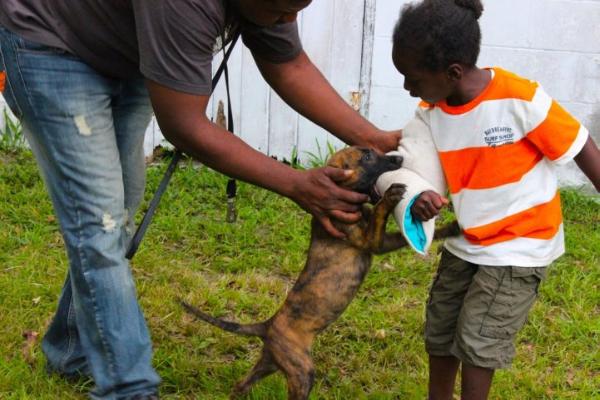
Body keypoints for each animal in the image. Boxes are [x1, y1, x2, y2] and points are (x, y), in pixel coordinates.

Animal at [182, 147, 460, 400]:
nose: (399, 158)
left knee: (241, 385)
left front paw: (452, 228)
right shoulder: (369, 241)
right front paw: (390, 197)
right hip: (301, 370)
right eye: (367, 157)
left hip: (269, 363)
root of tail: (268, 325)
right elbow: (380, 214)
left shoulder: (381, 243)